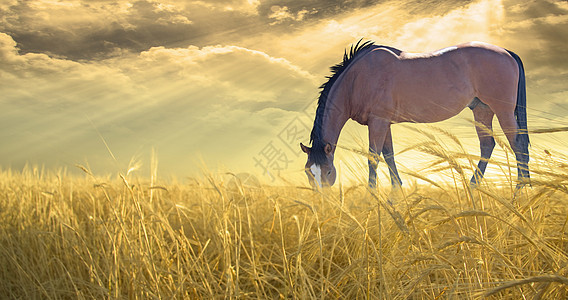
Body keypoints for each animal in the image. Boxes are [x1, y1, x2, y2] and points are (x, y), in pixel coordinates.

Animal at [302, 39, 528, 190]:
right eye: (308, 172)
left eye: (328, 171)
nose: (323, 204)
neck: (357, 79)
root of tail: (507, 52)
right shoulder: (385, 123)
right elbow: (389, 155)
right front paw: (396, 192)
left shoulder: (378, 122)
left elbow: (373, 158)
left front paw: (372, 195)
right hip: (482, 110)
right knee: (487, 145)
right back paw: (473, 187)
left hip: (503, 110)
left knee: (518, 144)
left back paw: (520, 189)